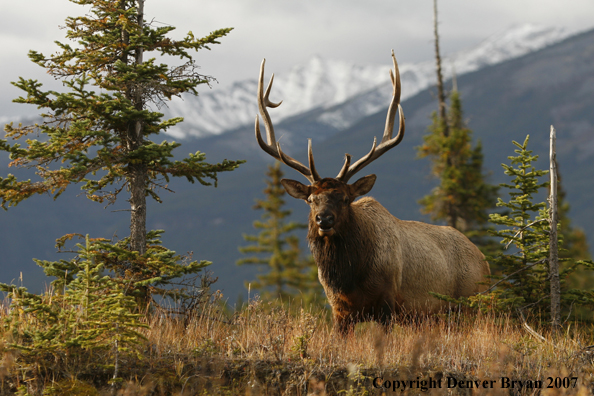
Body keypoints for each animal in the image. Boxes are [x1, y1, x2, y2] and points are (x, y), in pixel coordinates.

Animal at [252, 50, 488, 334]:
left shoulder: (387, 302)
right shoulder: (339, 311)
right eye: (310, 199)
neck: (349, 278)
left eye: (345, 199)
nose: (324, 219)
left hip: (471, 303)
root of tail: (485, 261)